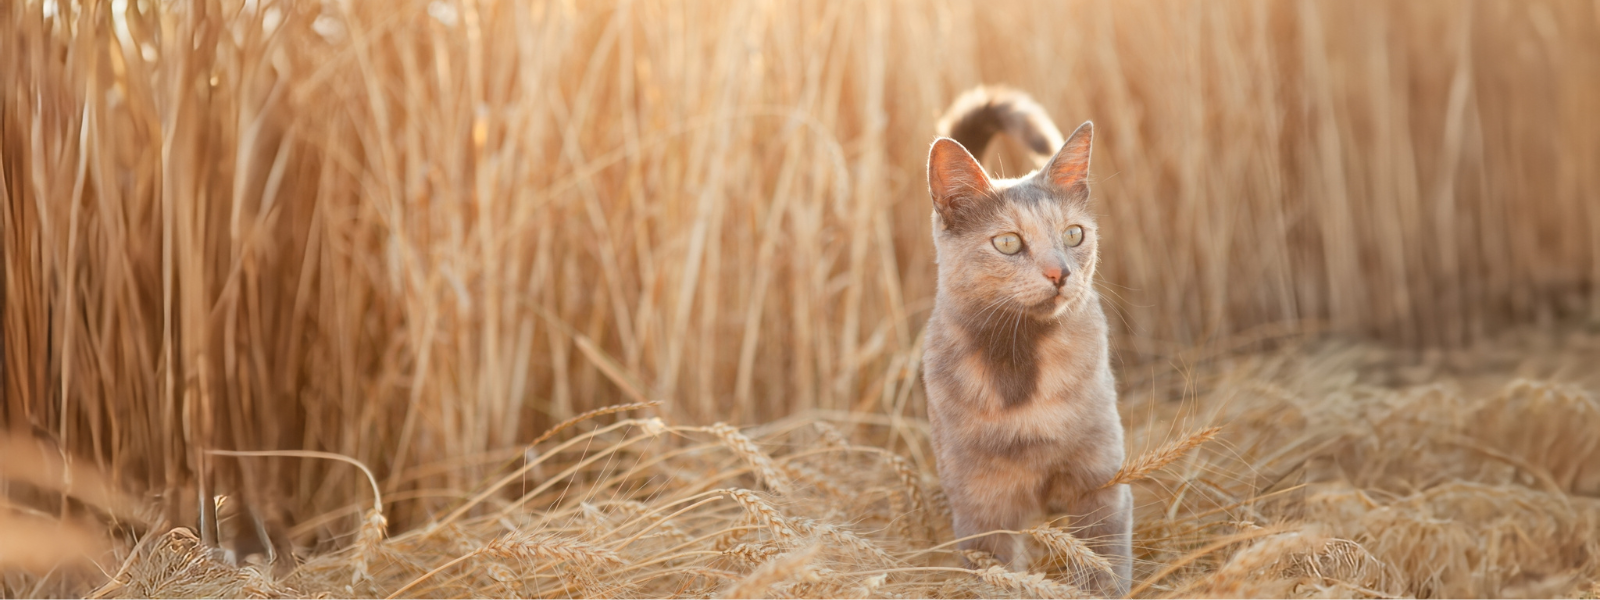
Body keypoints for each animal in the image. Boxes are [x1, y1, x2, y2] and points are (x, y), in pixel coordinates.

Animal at [921, 86, 1132, 598]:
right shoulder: (981, 507)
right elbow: (997, 572)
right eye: (1008, 243)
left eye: (1074, 234)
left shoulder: (1100, 484)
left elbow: (1103, 562)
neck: (1021, 361)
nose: (1061, 272)